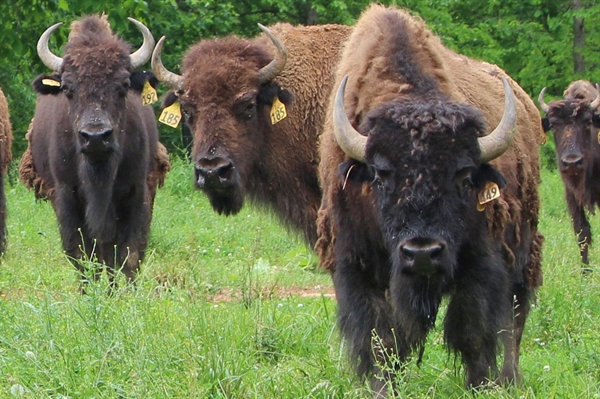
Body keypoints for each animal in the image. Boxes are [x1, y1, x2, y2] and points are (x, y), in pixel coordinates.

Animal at [20, 15, 170, 290]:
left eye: (123, 85)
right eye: (68, 88)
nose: (96, 137)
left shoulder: (137, 193)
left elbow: (129, 254)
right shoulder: (66, 196)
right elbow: (82, 255)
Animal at [316, 4, 548, 398]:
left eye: (464, 175)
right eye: (380, 174)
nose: (422, 252)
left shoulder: (479, 264)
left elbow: (473, 333)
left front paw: (479, 385)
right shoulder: (356, 267)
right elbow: (380, 340)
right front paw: (382, 388)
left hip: (524, 251)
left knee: (514, 319)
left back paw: (509, 378)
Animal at [540, 80, 600, 270]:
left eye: (587, 122)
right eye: (553, 125)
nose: (572, 161)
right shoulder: (572, 197)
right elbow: (582, 233)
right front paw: (585, 271)